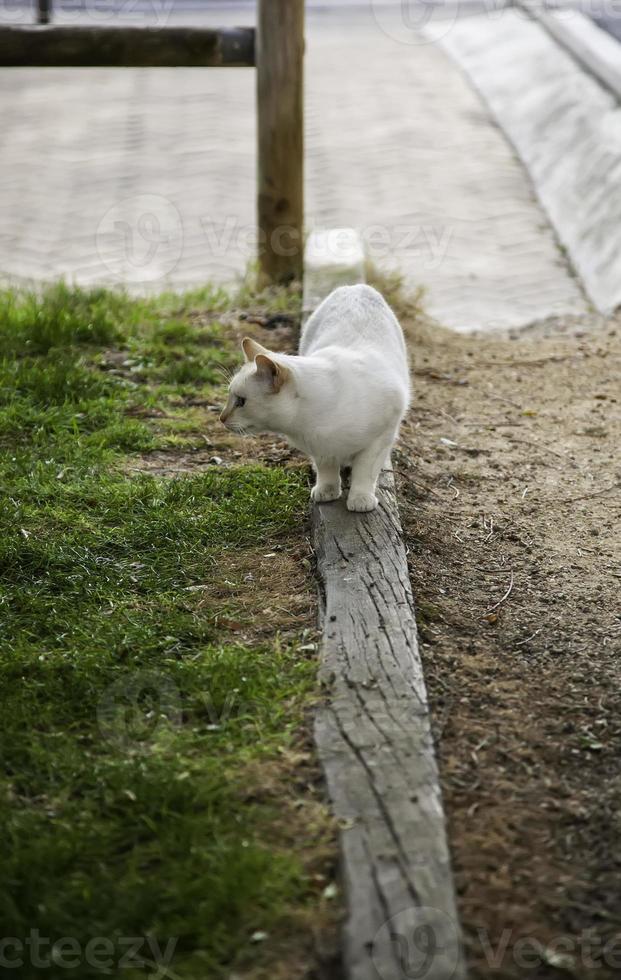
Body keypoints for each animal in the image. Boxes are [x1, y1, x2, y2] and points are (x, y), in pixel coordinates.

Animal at [220, 284, 410, 512]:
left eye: (240, 401)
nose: (221, 418)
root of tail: (356, 286)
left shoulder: (379, 439)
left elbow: (364, 473)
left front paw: (360, 499)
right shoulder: (321, 450)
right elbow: (327, 471)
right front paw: (328, 492)